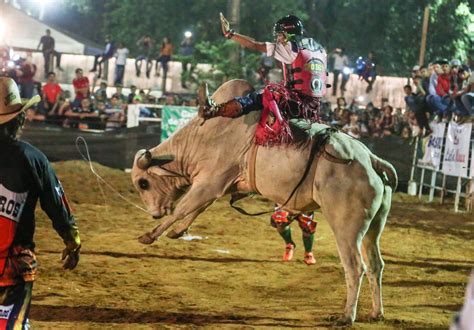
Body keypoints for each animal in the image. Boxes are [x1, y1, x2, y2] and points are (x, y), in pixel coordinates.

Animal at [130, 79, 396, 324]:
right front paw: (178, 231)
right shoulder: (220, 185)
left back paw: (346, 316)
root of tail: (370, 159)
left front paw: (150, 235)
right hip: (373, 227)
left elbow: (184, 208)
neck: (202, 136)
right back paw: (376, 313)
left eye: (143, 183)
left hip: (346, 227)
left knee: (355, 267)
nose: (154, 213)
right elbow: (198, 208)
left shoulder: (210, 181)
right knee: (375, 265)